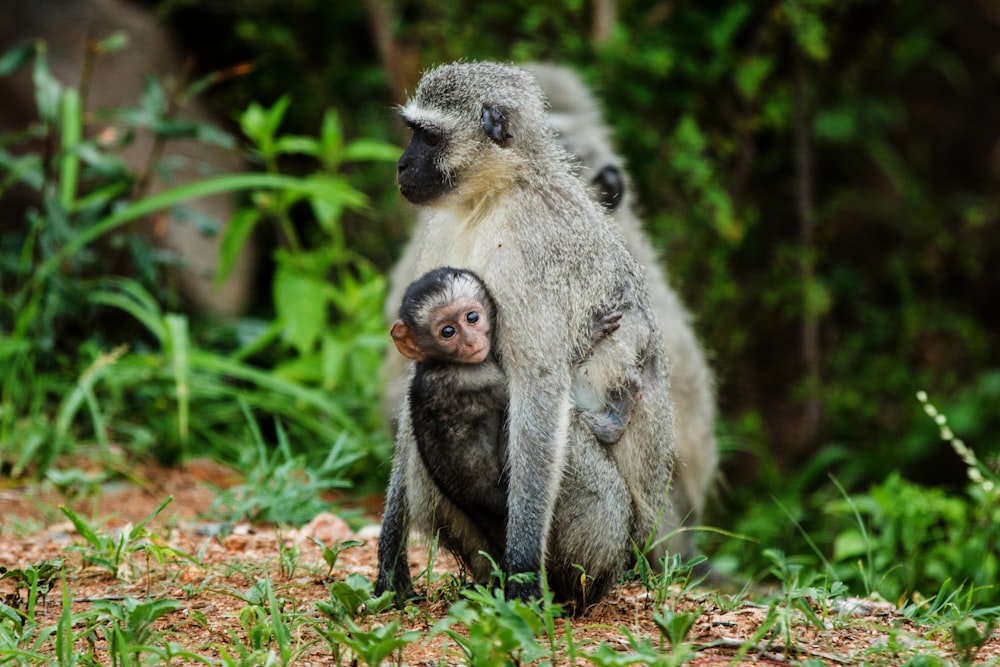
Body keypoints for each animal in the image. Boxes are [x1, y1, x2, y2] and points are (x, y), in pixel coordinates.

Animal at [390, 266, 640, 548]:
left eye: (472, 317)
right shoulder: (478, 376)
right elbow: (532, 388)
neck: (437, 362)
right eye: (447, 332)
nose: (471, 342)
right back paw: (611, 424)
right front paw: (590, 336)